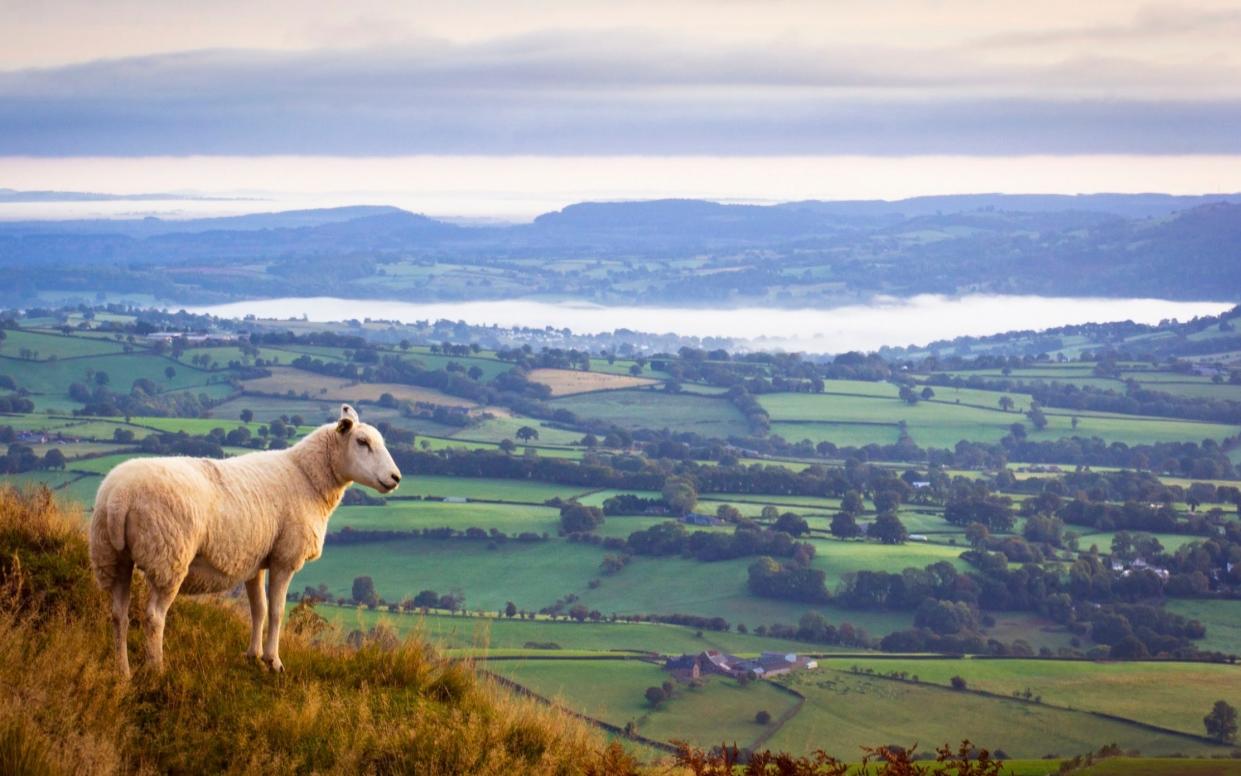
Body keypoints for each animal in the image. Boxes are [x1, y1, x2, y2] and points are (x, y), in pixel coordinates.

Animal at [89, 402, 399, 675]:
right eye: (362, 442)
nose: (396, 477)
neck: (307, 477)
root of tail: (119, 498)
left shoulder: (255, 560)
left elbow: (258, 609)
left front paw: (253, 656)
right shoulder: (284, 557)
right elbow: (276, 611)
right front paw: (274, 661)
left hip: (112, 556)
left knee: (118, 613)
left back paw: (123, 671)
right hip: (168, 556)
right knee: (154, 616)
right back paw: (157, 669)